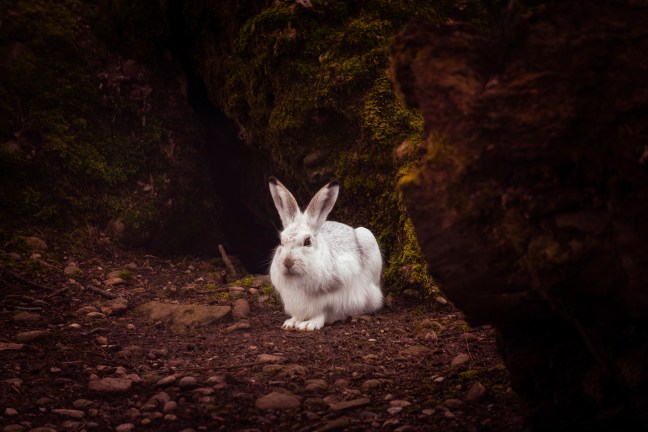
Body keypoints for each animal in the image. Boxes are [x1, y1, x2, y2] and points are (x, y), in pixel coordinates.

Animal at [268, 177, 383, 331]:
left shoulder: (332, 300)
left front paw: (307, 325)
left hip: (368, 239)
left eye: (307, 241)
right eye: (281, 241)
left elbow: (322, 313)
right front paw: (291, 323)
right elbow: (298, 314)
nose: (287, 262)